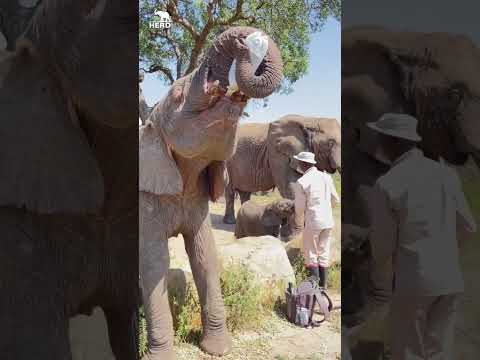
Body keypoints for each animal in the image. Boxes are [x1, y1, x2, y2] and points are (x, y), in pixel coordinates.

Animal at [137, 26, 284, 360]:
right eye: (177, 95)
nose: (247, 42)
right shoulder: (145, 199)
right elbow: (154, 262)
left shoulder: (198, 195)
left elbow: (205, 254)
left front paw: (217, 349)